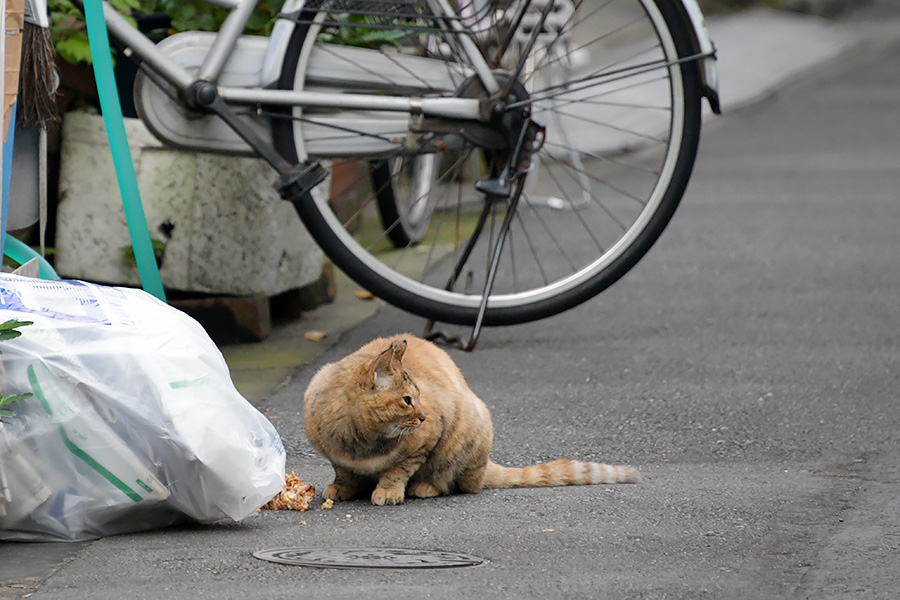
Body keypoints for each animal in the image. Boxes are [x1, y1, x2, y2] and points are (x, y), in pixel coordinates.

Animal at [304, 336, 640, 504]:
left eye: (419, 397)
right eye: (407, 400)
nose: (423, 415)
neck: (361, 443)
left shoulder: (426, 439)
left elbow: (397, 470)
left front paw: (388, 490)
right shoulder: (336, 456)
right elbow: (343, 472)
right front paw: (342, 487)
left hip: (471, 429)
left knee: (459, 483)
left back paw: (427, 486)